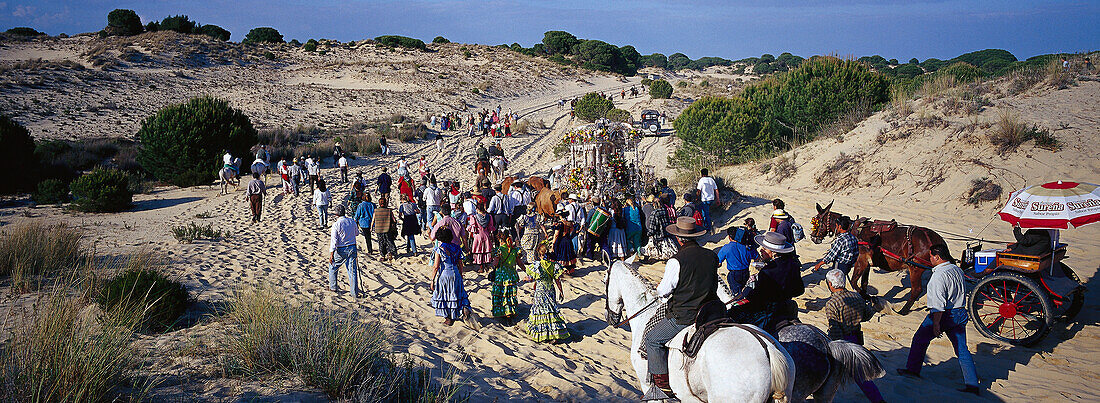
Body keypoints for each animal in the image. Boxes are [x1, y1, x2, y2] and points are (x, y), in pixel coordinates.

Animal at [809, 201, 946, 312]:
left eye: (817, 221)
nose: (813, 237)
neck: (852, 230)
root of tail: (934, 239)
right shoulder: (867, 264)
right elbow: (864, 283)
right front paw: (866, 298)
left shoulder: (861, 261)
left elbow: (853, 282)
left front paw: (870, 298)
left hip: (915, 268)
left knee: (916, 289)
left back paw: (903, 311)